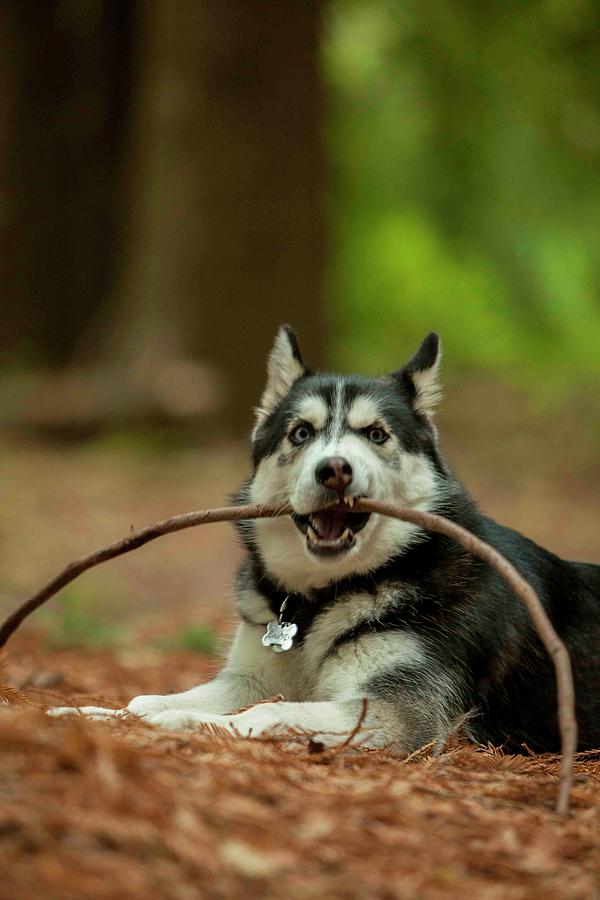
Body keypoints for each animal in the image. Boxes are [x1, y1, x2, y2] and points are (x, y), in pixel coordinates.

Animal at [51, 328, 600, 752]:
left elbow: (268, 713)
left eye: (376, 434)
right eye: (301, 433)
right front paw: (91, 714)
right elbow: (145, 699)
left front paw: (190, 724)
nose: (334, 468)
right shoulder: (251, 677)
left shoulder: (397, 711)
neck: (321, 598)